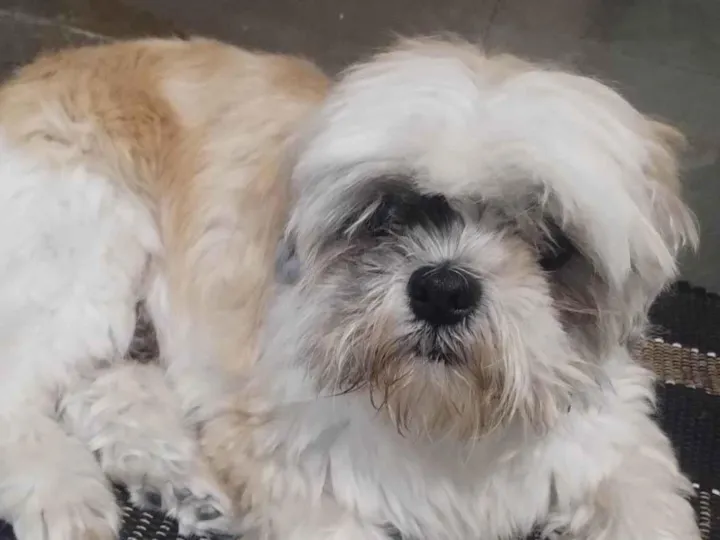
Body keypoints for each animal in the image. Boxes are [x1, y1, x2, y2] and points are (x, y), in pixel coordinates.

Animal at [201, 38, 702, 540]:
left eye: (554, 242)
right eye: (388, 212)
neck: (445, 421)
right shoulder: (285, 456)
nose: (443, 290)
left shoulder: (611, 445)